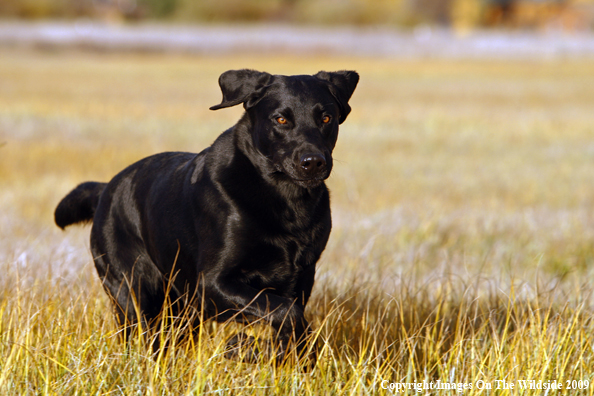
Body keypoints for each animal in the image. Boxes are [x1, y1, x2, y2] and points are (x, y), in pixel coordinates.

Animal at [55, 67, 358, 362]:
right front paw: (243, 346)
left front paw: (253, 349)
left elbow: (293, 325)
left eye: (326, 118)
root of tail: (106, 188)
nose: (313, 162)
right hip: (132, 291)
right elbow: (287, 313)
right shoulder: (210, 285)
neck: (284, 198)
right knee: (141, 336)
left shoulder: (302, 278)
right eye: (281, 119)